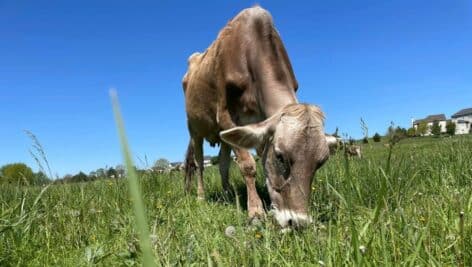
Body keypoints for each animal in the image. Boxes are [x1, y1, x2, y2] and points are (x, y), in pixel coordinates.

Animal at [182, 6, 336, 228]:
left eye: (321, 162)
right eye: (280, 157)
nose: (298, 222)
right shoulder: (226, 116)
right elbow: (248, 165)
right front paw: (255, 212)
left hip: (223, 135)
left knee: (223, 163)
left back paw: (228, 194)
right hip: (195, 129)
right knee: (199, 162)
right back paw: (201, 196)